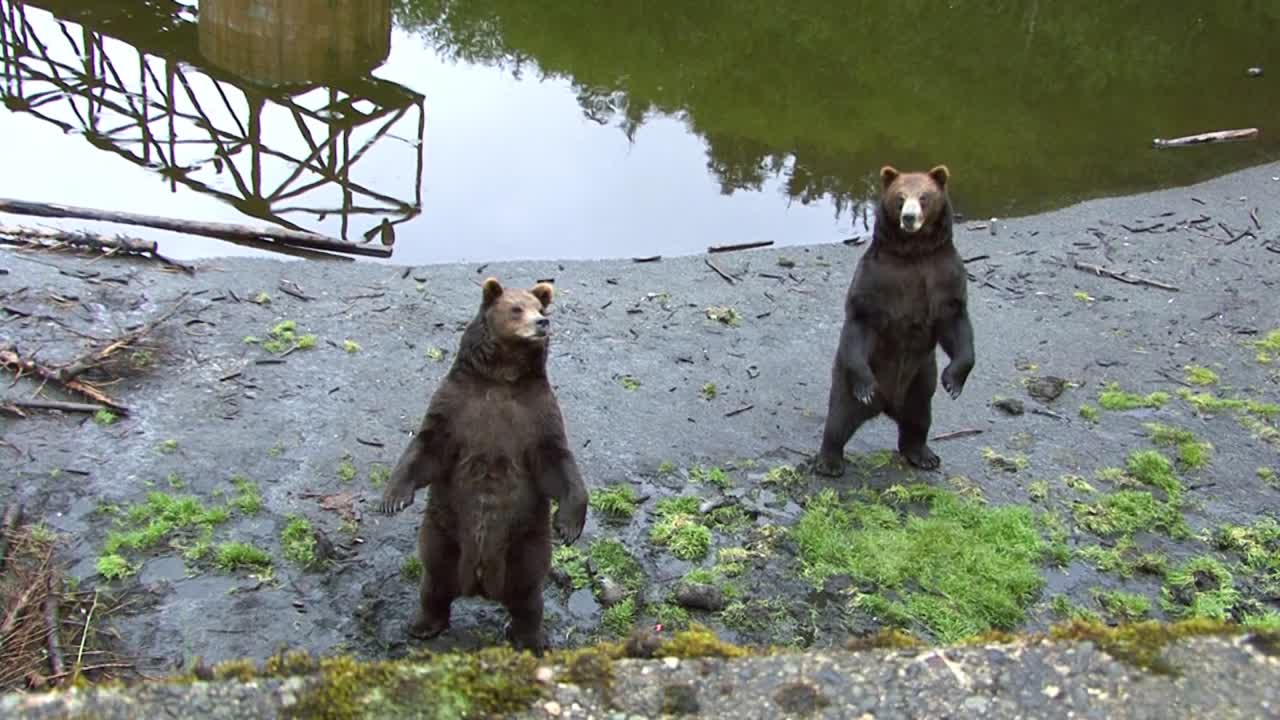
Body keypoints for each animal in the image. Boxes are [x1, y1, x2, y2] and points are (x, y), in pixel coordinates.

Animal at [378, 276, 589, 654]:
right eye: (516, 308)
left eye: (540, 307)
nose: (542, 323)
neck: (502, 377)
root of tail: (479, 584)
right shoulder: (456, 406)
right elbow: (427, 446)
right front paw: (393, 499)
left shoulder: (537, 417)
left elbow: (557, 462)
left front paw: (569, 525)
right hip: (443, 532)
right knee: (434, 579)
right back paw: (422, 625)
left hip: (526, 544)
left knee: (528, 595)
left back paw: (531, 638)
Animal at [813, 164, 975, 476]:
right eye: (900, 198)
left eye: (924, 197)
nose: (909, 217)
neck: (913, 253)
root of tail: (888, 404)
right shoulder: (877, 279)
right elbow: (861, 317)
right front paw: (866, 386)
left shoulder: (945, 275)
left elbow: (956, 322)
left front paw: (954, 381)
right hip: (848, 379)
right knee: (839, 418)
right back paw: (830, 460)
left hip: (920, 380)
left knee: (918, 419)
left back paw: (923, 454)